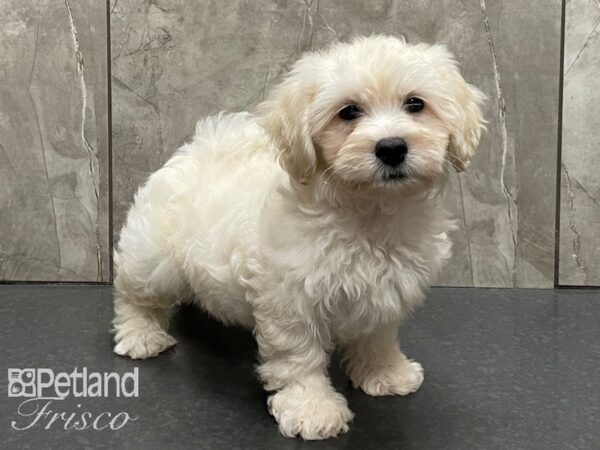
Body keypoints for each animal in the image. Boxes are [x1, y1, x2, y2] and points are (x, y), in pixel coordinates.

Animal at [112, 35, 486, 440]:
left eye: (415, 104)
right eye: (348, 112)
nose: (392, 147)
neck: (369, 212)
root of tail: (202, 146)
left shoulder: (387, 293)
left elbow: (378, 336)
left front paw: (385, 373)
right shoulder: (290, 300)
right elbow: (299, 356)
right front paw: (312, 408)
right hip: (153, 256)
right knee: (135, 293)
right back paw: (141, 334)